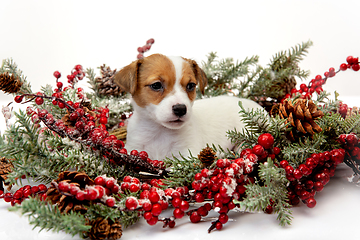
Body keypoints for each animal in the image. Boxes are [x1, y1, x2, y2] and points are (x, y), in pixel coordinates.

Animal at [114, 53, 262, 160]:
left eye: (191, 85)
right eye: (156, 85)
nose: (180, 109)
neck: (160, 132)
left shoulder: (187, 154)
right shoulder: (134, 147)